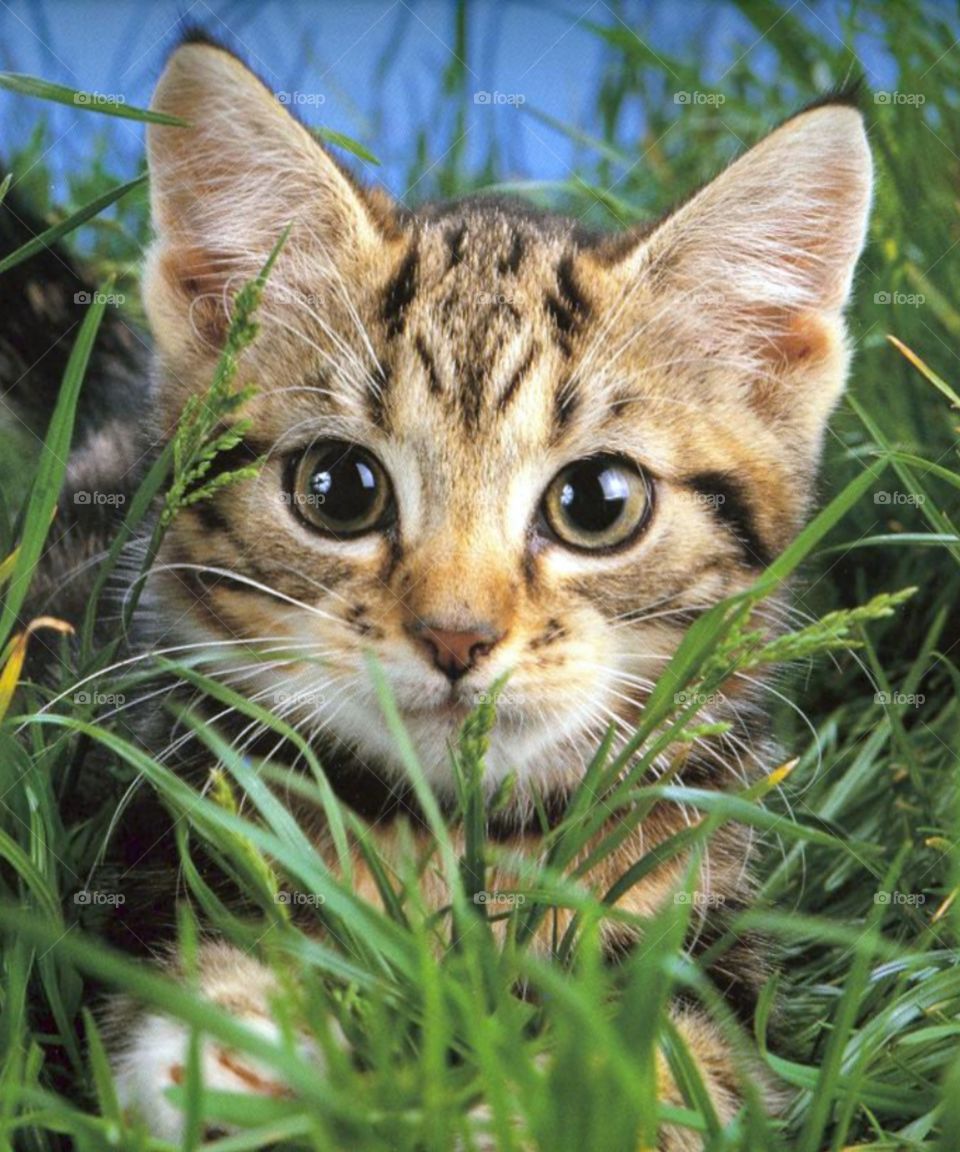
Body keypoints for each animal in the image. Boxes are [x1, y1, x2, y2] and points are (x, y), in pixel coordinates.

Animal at [9, 33, 866, 1142]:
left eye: (597, 503)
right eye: (338, 488)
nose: (456, 637)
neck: (453, 839)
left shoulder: (713, 955)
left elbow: (668, 1066)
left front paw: (509, 1104)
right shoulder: (155, 831)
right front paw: (252, 1067)